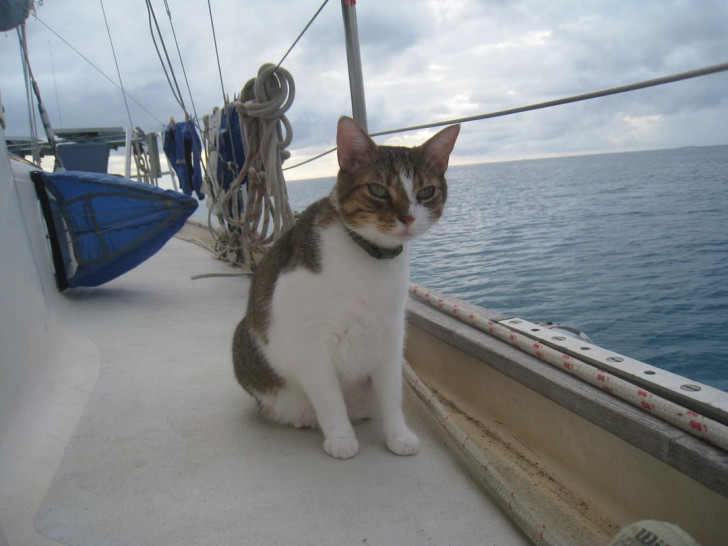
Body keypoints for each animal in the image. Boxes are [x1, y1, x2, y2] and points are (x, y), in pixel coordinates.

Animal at [233, 117, 460, 456]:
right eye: (378, 190)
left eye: (426, 191)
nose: (407, 217)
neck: (370, 258)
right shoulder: (311, 340)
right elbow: (328, 398)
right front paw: (341, 438)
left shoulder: (391, 335)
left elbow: (391, 394)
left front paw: (398, 434)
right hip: (243, 341)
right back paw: (301, 417)